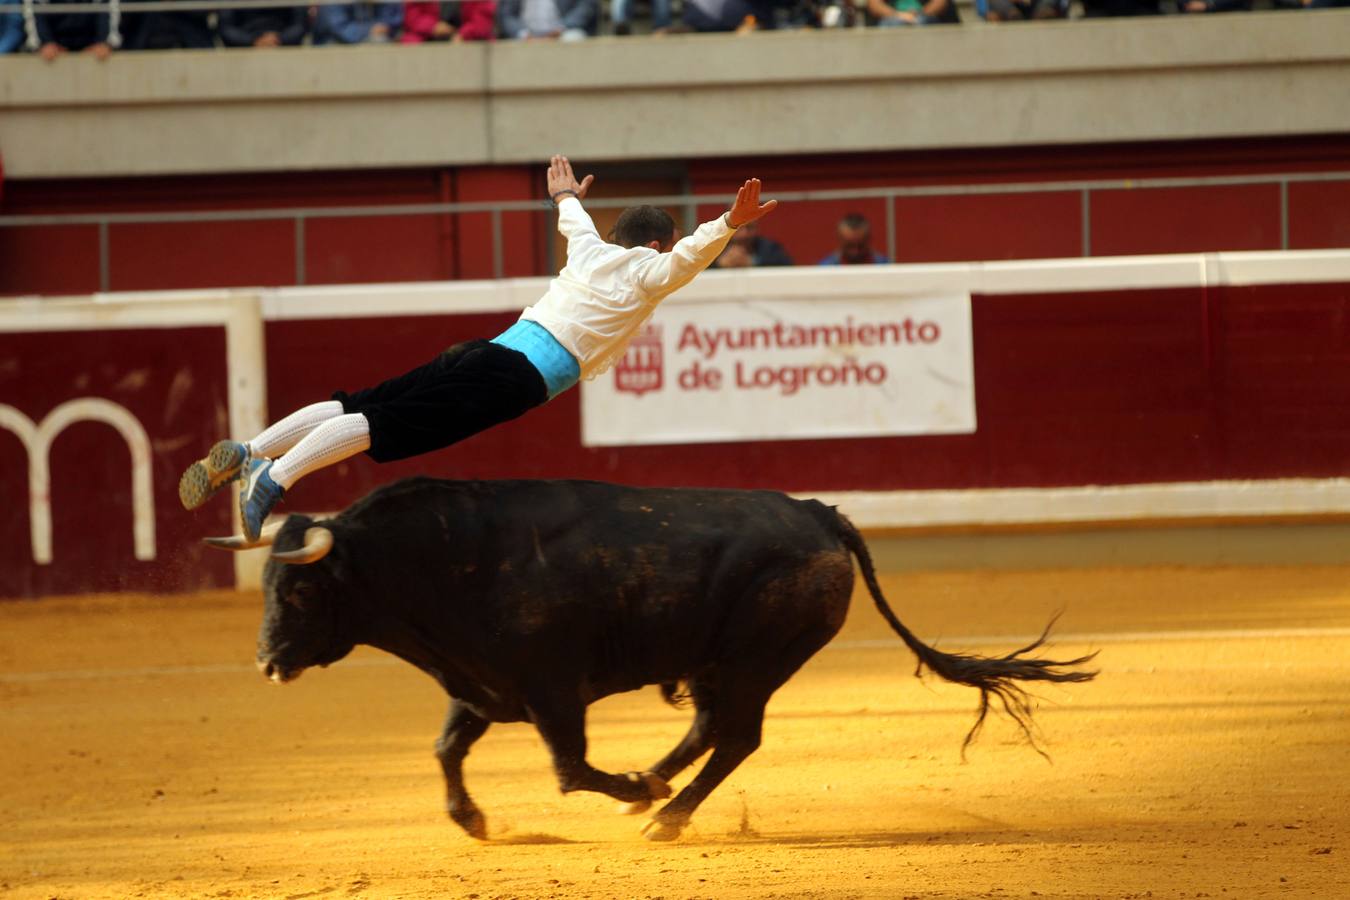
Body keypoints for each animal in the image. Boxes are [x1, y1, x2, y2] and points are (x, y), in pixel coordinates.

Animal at [210, 483, 1096, 841]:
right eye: (269, 588)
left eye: (299, 590)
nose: (265, 662)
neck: (434, 558)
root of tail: (819, 514)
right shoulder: (480, 687)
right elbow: (444, 748)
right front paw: (474, 821)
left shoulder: (551, 692)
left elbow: (570, 769)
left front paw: (631, 790)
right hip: (714, 664)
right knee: (709, 731)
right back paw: (659, 790)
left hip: (754, 662)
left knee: (736, 737)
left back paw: (662, 811)